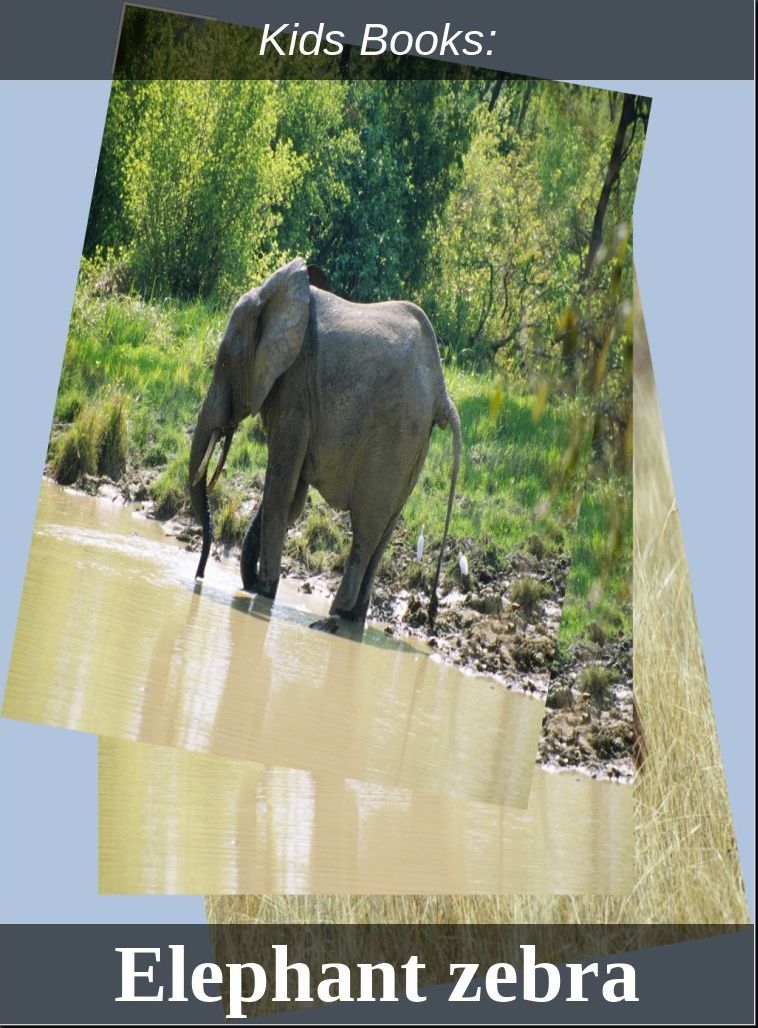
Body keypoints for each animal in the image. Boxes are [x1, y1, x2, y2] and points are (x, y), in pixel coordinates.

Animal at [189, 257, 461, 627]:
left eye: (226, 361)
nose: (200, 575)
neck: (272, 297)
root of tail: (440, 393)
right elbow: (292, 496)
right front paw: (260, 586)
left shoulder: (295, 388)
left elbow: (279, 490)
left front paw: (265, 591)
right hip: (413, 446)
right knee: (384, 534)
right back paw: (353, 618)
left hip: (395, 437)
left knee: (366, 532)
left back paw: (333, 617)